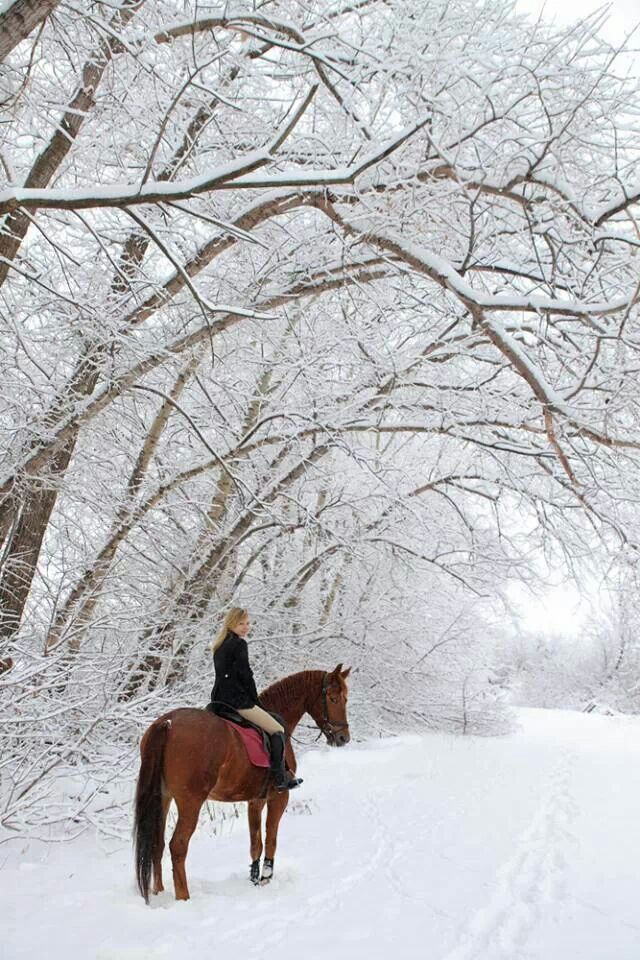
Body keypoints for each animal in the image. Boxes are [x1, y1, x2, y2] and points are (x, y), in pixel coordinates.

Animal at [134, 668, 350, 900]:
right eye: (333, 698)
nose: (344, 738)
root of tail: (168, 723)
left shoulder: (255, 800)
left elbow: (256, 842)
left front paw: (254, 878)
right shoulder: (278, 797)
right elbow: (271, 838)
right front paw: (266, 877)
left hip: (163, 797)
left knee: (157, 843)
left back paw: (158, 892)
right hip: (190, 801)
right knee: (178, 845)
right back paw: (183, 897)